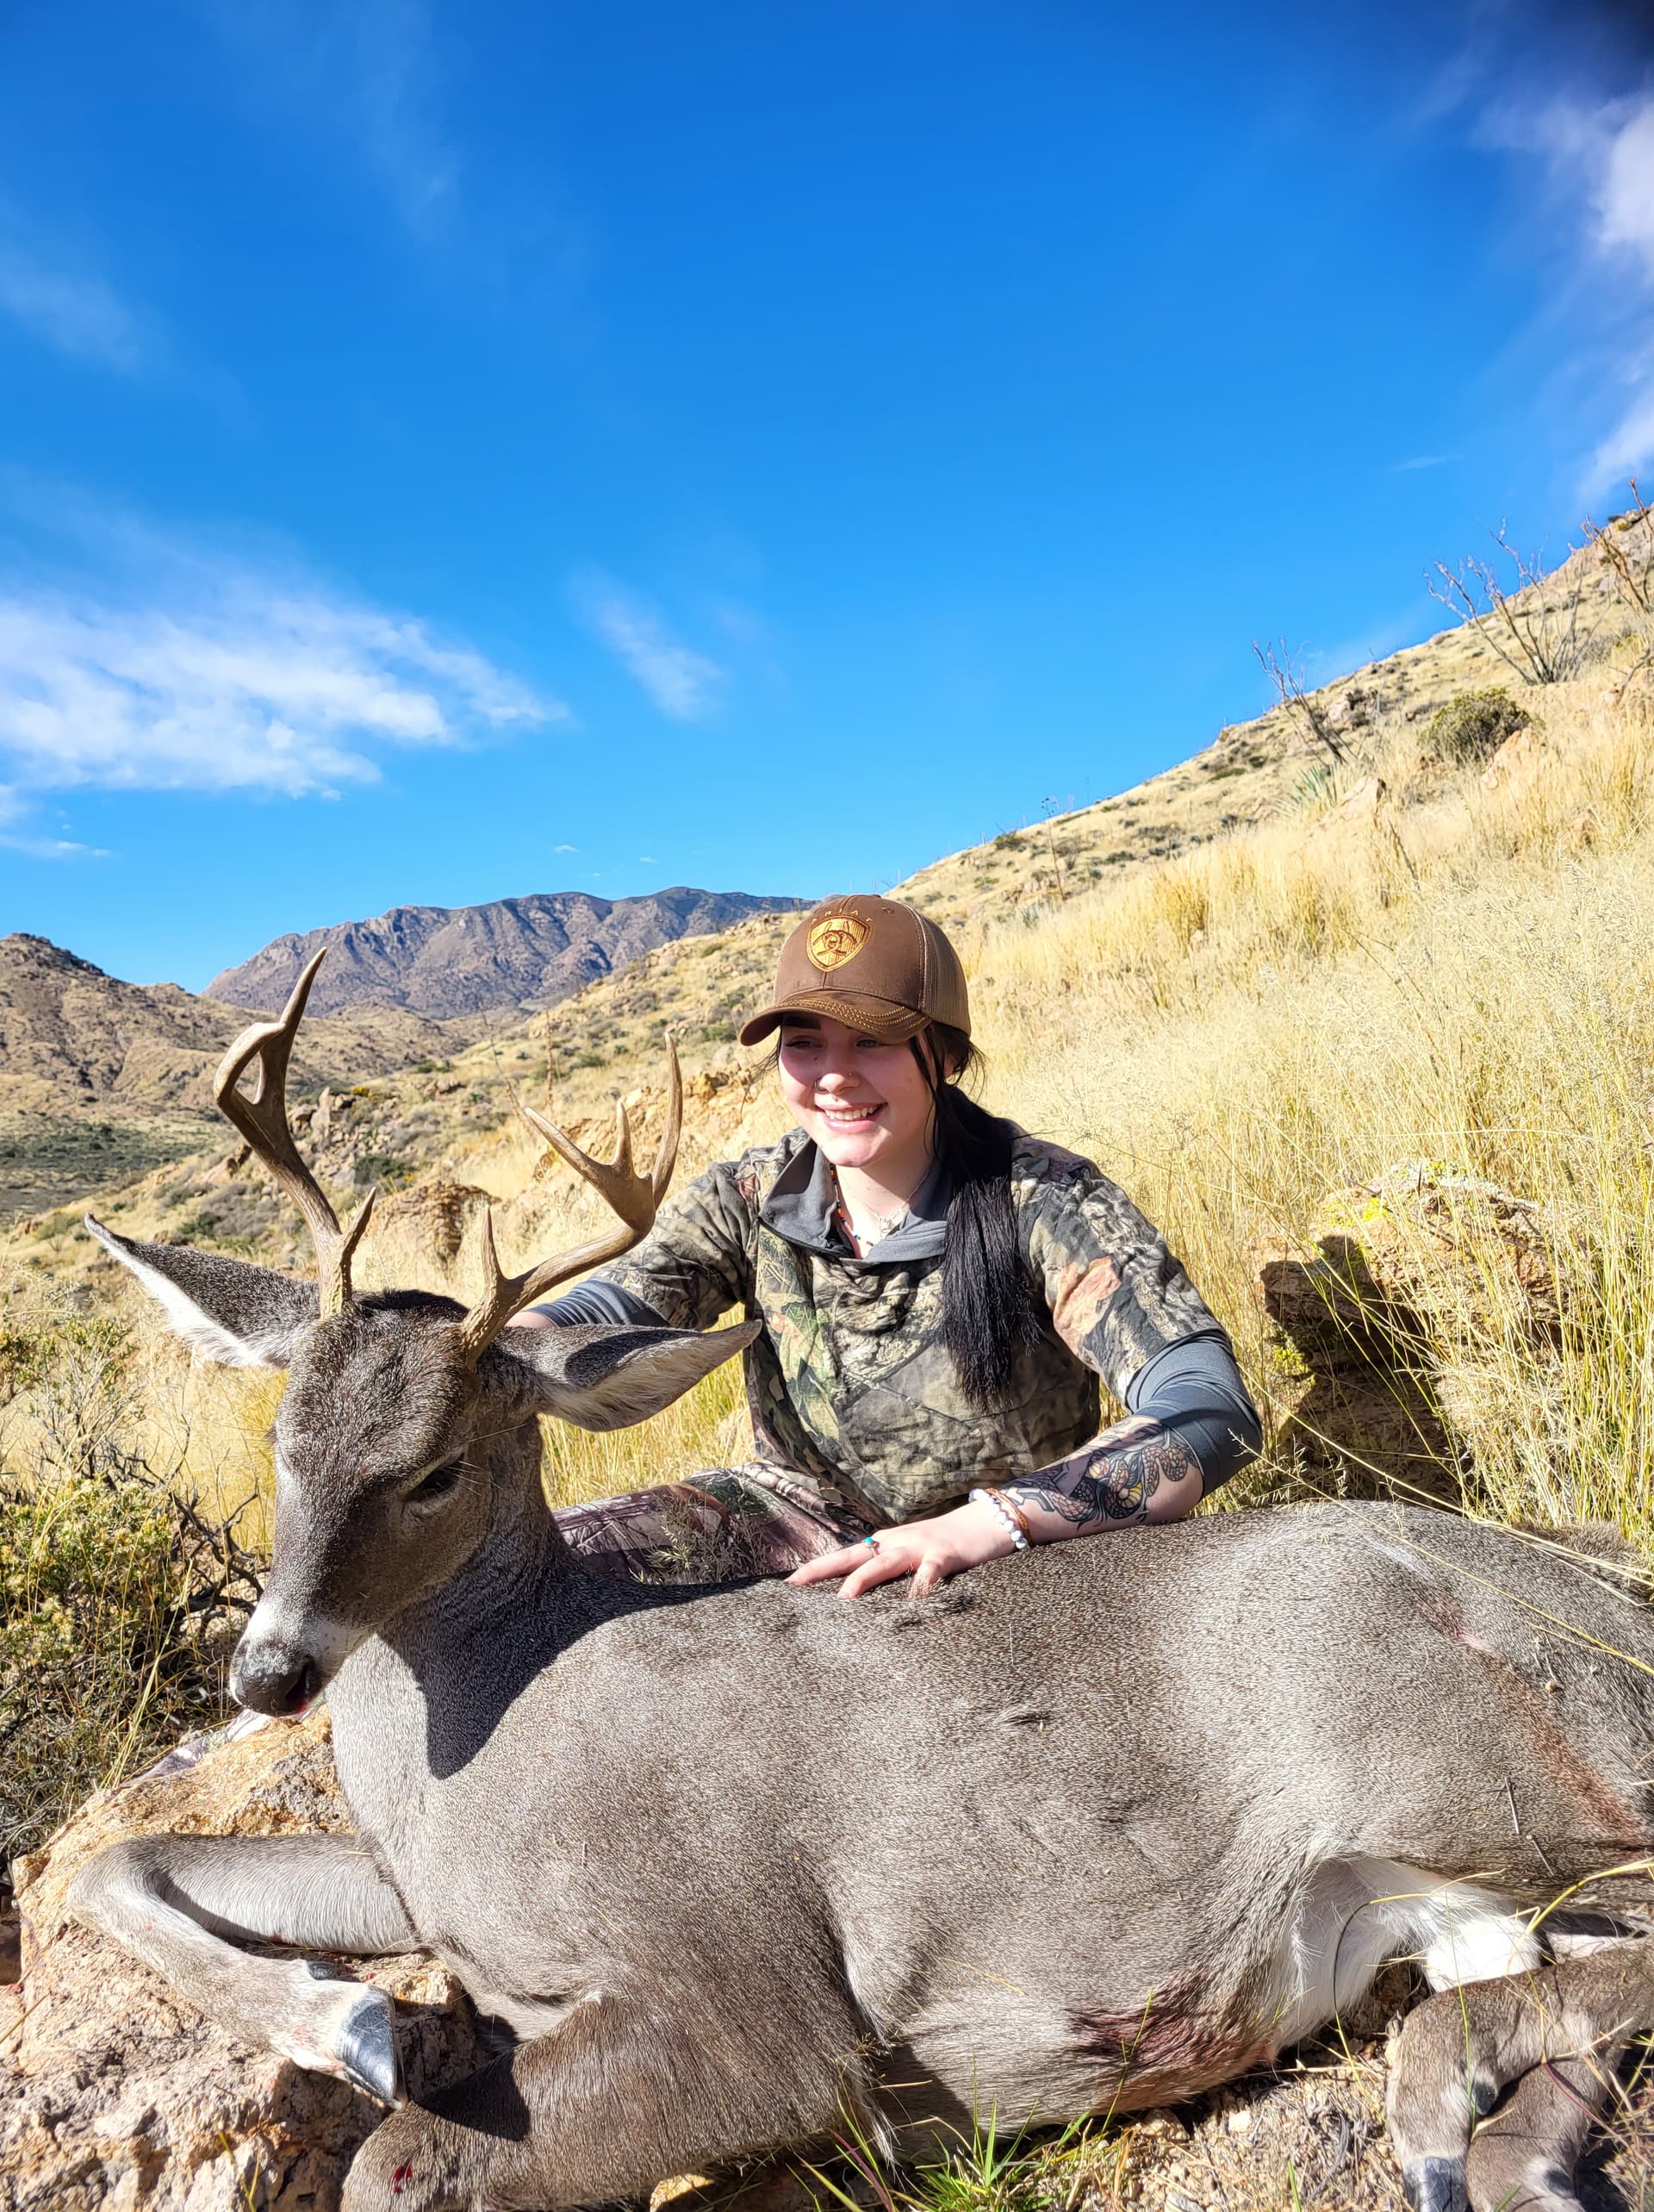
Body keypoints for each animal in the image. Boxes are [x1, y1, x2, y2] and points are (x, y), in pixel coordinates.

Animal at [63, 951, 1654, 2212]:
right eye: (282, 1438)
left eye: (438, 1467)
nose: (270, 1670)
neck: (481, 1736)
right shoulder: (419, 1890)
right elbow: (110, 1861)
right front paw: (347, 2016)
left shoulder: (748, 1996)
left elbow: (395, 2158)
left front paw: (370, 2038)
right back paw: (1503, 2157)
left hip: (1483, 1746)